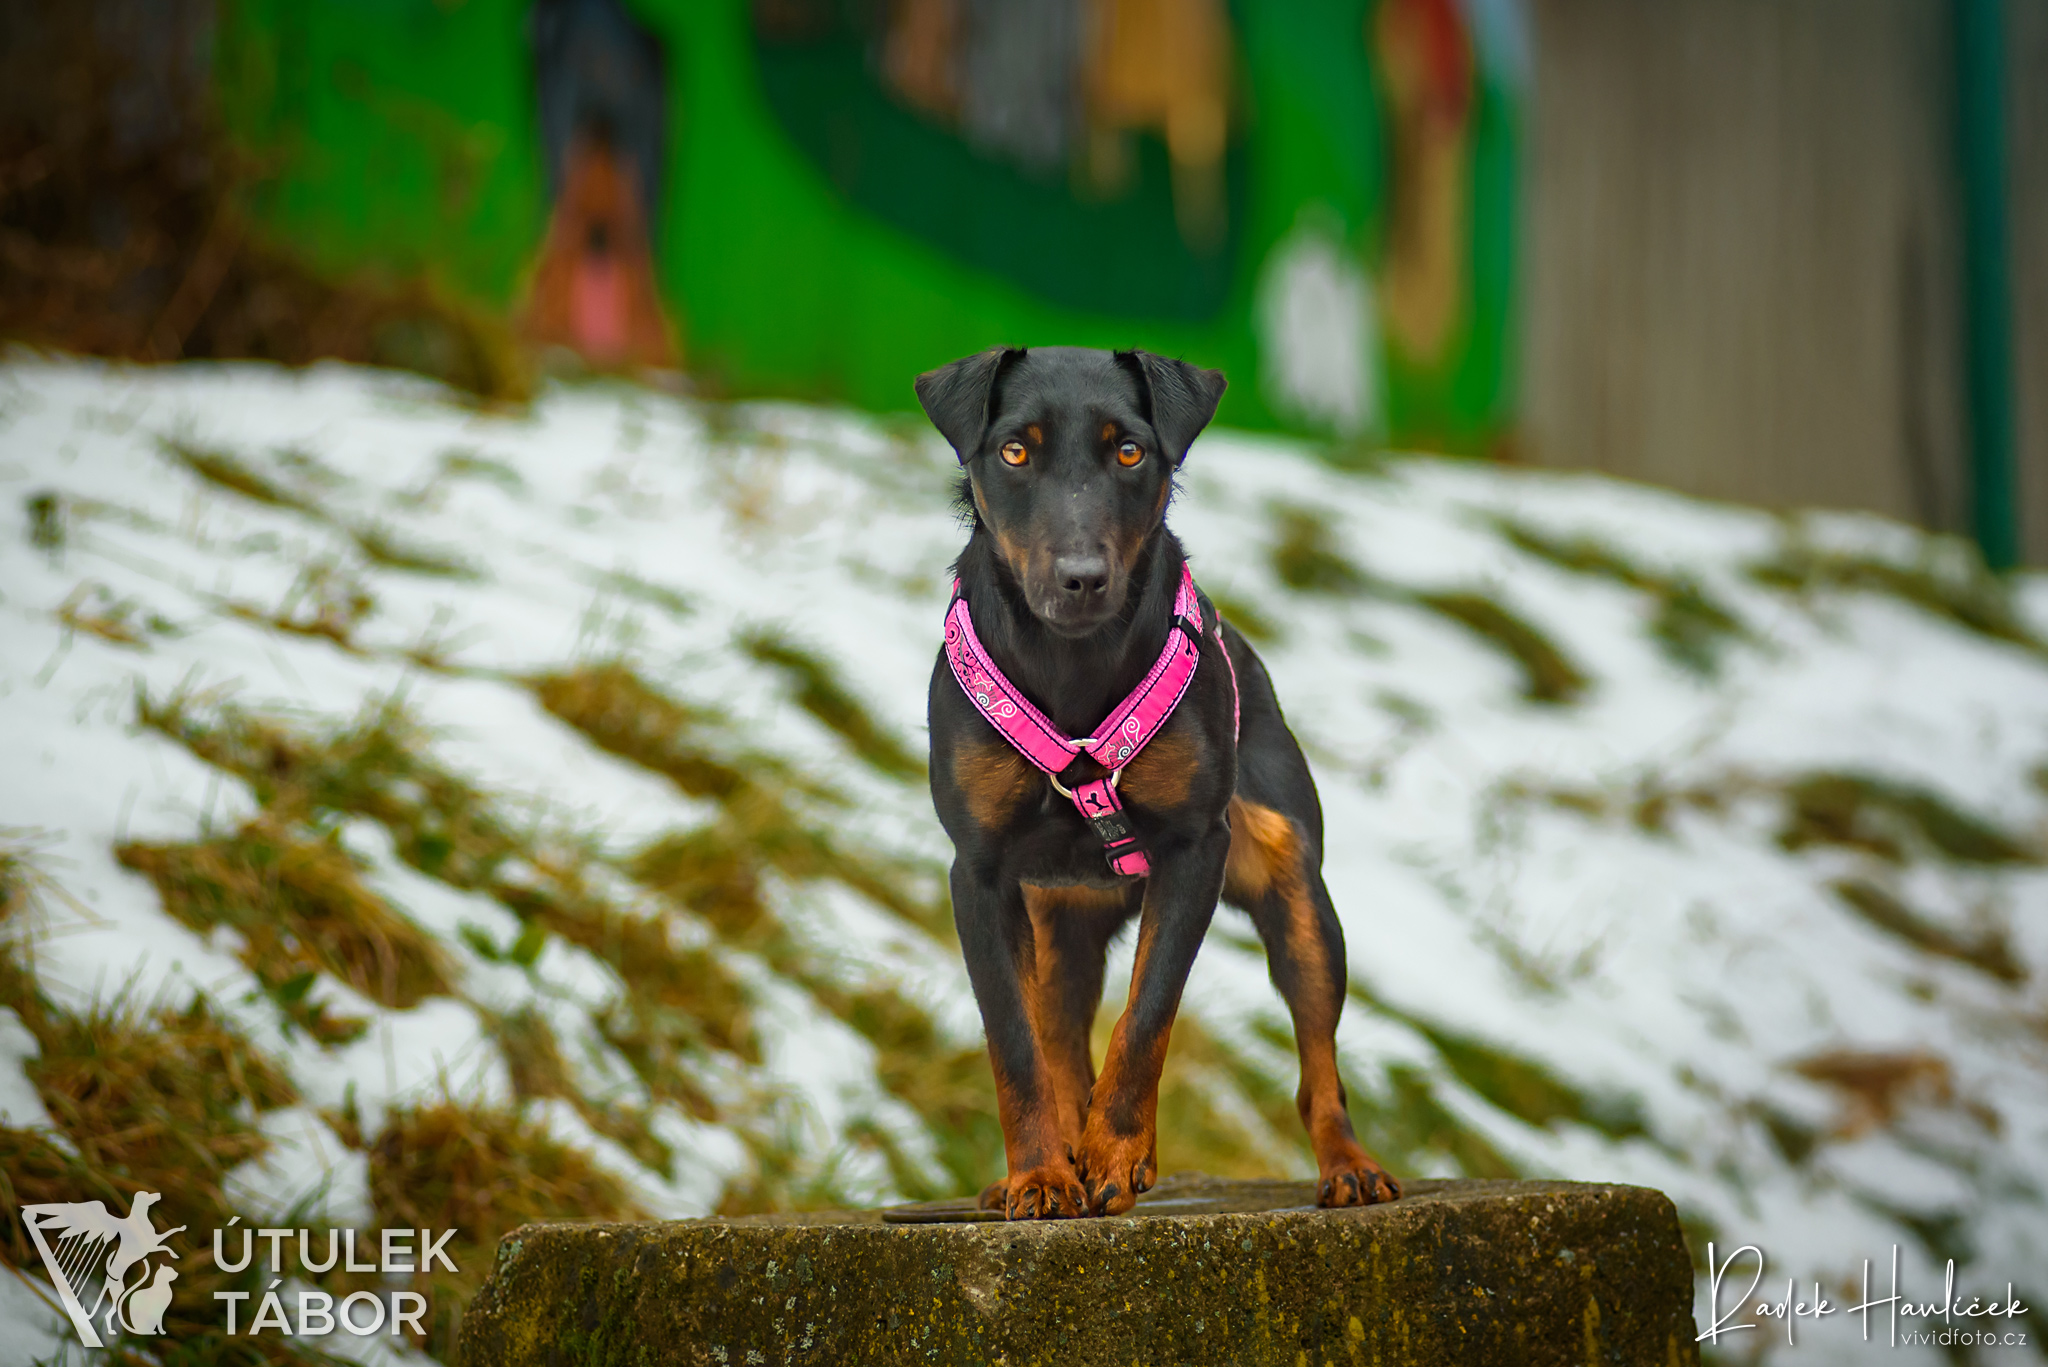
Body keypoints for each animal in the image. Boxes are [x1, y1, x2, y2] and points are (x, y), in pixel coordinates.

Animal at [917, 345, 1401, 1219]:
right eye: (1014, 451)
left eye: (1131, 451)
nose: (1080, 577)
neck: (1073, 667)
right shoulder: (978, 871)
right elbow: (1015, 1044)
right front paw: (1041, 1175)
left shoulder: (1193, 850)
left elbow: (1146, 1016)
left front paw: (1114, 1155)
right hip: (1060, 921)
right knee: (1057, 1039)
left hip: (1295, 890)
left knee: (1318, 1063)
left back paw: (1347, 1165)